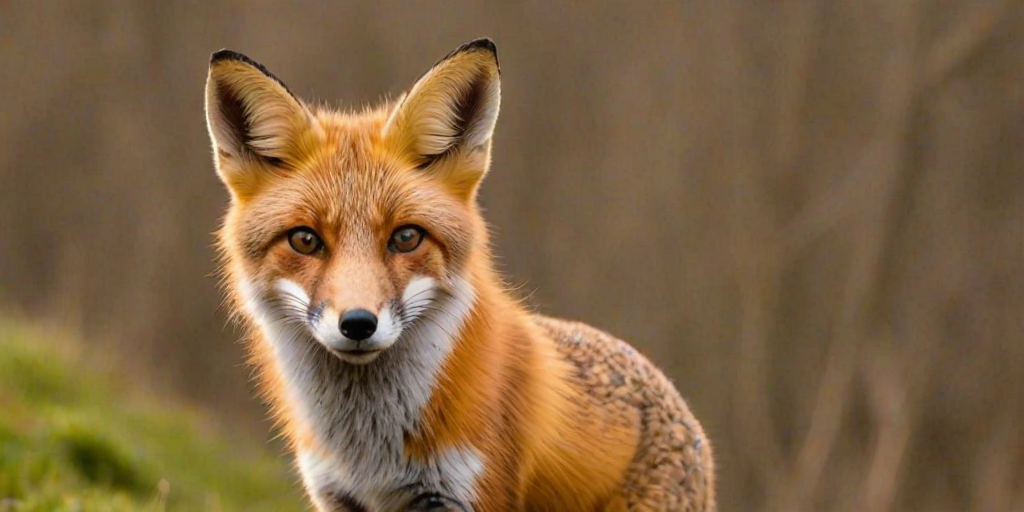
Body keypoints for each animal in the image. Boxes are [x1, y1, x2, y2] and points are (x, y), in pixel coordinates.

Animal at [205, 38, 715, 512]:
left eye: (406, 237)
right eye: (305, 241)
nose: (358, 324)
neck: (370, 453)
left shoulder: (466, 492)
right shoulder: (336, 496)